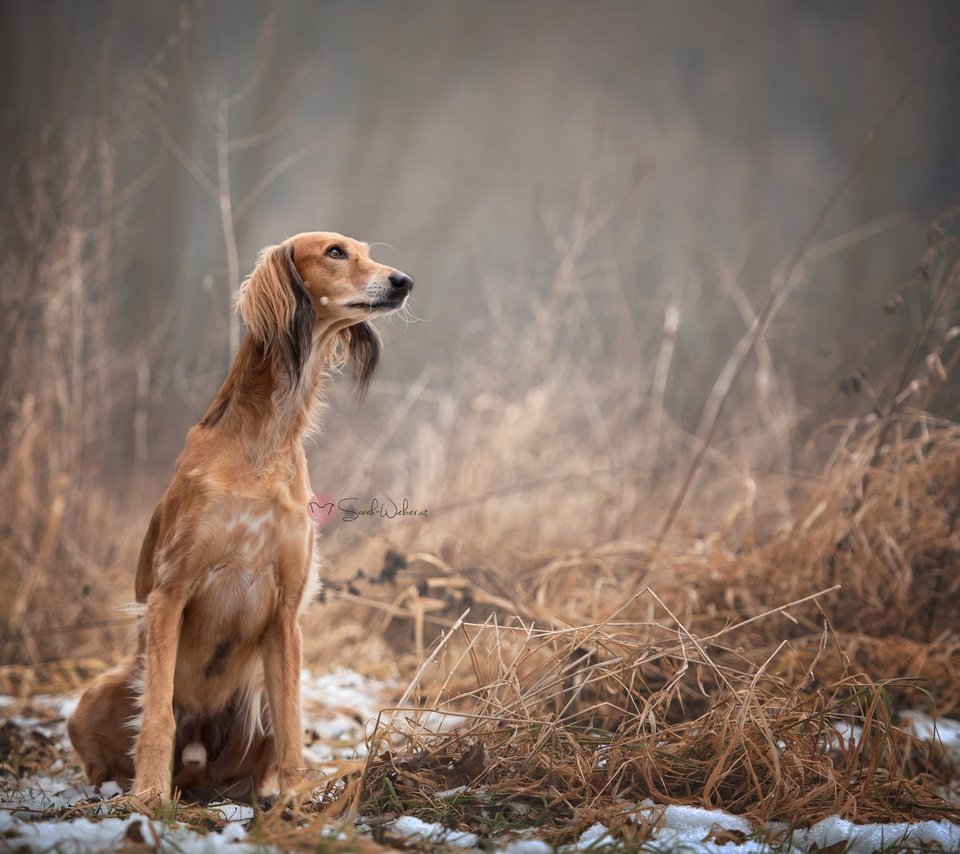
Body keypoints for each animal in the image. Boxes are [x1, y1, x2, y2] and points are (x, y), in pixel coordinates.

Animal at [66, 231, 412, 804]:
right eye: (335, 252)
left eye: (364, 250)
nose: (403, 281)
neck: (264, 443)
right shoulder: (169, 594)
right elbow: (156, 715)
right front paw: (149, 795)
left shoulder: (287, 613)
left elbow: (293, 722)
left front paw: (297, 798)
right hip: (101, 692)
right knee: (109, 750)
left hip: (253, 710)